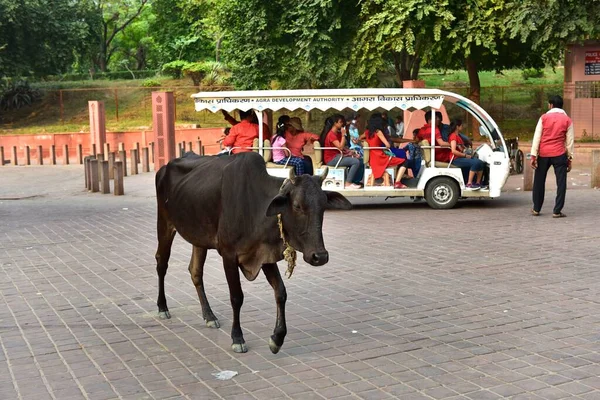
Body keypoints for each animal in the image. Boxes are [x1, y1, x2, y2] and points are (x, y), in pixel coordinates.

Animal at [155, 152, 352, 352]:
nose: (320, 256)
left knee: (195, 271)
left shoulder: (264, 254)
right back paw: (163, 308)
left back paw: (209, 316)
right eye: (297, 205)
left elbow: (281, 292)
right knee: (161, 263)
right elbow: (236, 297)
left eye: (324, 205)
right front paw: (237, 338)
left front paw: (277, 338)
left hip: (199, 238)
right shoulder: (228, 255)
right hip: (165, 224)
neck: (255, 205)